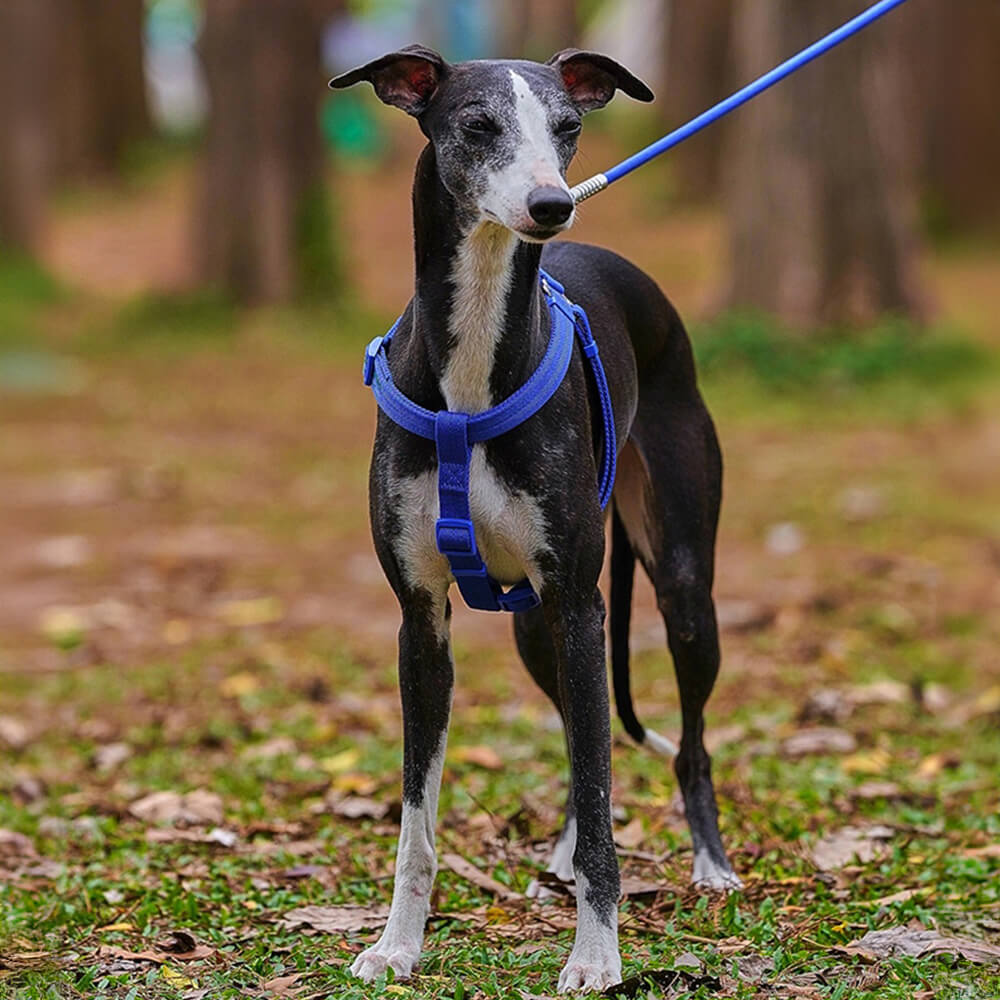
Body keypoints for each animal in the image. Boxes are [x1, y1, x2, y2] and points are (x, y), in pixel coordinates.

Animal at [332, 45, 740, 992]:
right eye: (478, 124)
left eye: (568, 127)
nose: (552, 204)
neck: (472, 368)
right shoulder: (422, 620)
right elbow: (418, 819)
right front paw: (395, 946)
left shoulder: (582, 603)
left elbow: (599, 783)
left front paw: (595, 957)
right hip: (533, 624)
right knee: (573, 728)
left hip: (677, 587)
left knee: (685, 739)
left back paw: (710, 865)